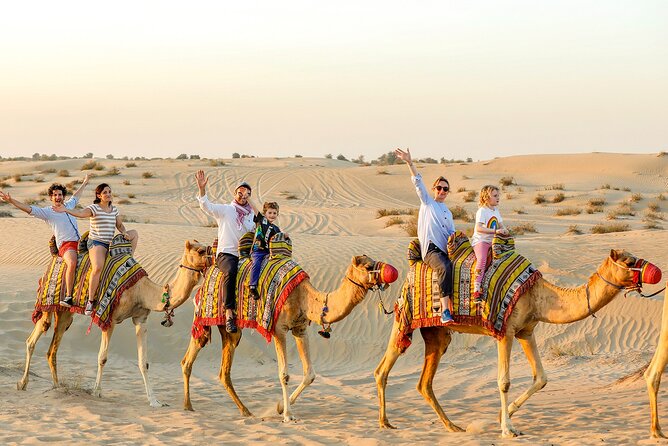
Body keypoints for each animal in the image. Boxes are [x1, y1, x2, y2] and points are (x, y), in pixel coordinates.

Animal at [18, 240, 211, 407]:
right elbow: (102, 357)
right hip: (48, 304)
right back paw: (22, 384)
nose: (213, 258)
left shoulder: (140, 318)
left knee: (52, 350)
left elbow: (144, 362)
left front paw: (154, 401)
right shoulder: (109, 319)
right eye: (200, 251)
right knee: (32, 340)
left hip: (65, 313)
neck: (141, 291)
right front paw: (96, 392)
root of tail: (54, 257)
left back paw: (57, 387)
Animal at [181, 254, 398, 421]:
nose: (390, 272)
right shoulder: (279, 329)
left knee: (223, 371)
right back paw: (188, 406)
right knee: (190, 358)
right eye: (368, 266)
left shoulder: (300, 329)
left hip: (232, 330)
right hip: (206, 317)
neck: (305, 297)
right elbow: (284, 374)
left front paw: (279, 407)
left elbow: (310, 374)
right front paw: (287, 415)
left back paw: (245, 410)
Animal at [375, 249, 661, 438]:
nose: (656, 271)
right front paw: (508, 429)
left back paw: (452, 426)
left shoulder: (526, 331)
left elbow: (541, 378)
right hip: (405, 319)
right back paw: (385, 423)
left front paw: (503, 415)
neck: (539, 295)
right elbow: (504, 381)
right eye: (629, 261)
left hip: (437, 334)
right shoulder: (506, 331)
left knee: (424, 383)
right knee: (384, 368)